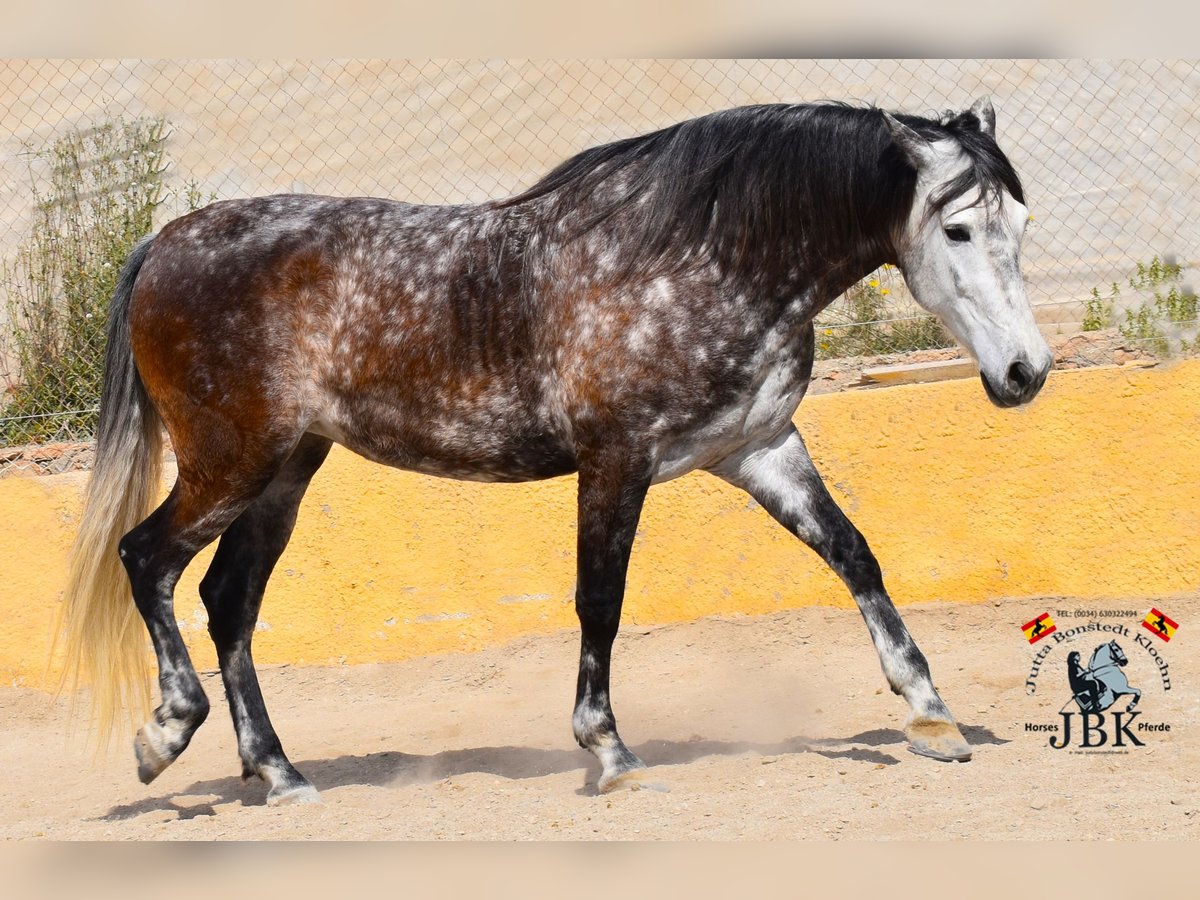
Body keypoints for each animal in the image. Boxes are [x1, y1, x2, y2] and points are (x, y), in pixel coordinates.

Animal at [58, 97, 1051, 801]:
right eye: (958, 228)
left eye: (1021, 226)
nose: (1026, 372)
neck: (700, 259)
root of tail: (164, 243)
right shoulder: (616, 460)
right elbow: (599, 601)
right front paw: (608, 751)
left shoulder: (761, 447)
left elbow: (854, 556)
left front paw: (933, 715)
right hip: (232, 464)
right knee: (147, 559)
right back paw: (166, 734)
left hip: (286, 471)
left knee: (228, 601)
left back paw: (279, 773)